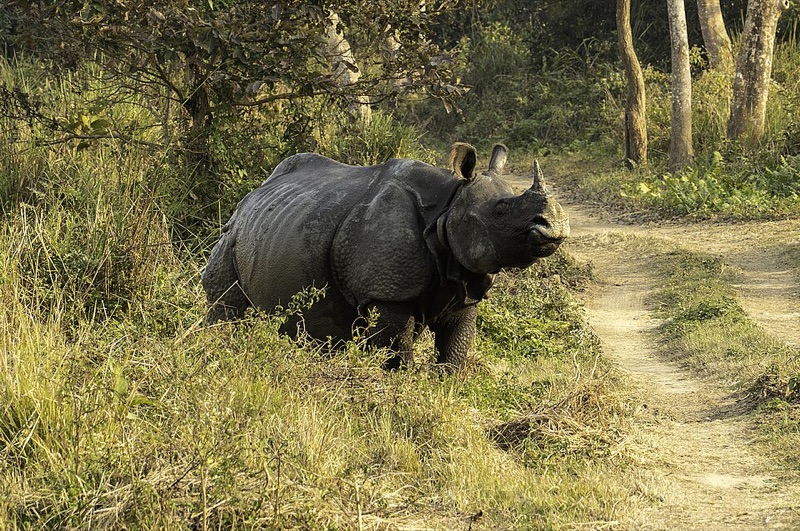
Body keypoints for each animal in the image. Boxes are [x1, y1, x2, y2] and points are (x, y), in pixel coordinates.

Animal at [202, 143, 569, 371]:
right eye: (500, 210)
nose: (555, 225)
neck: (449, 206)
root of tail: (253, 194)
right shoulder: (387, 289)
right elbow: (395, 347)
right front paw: (399, 386)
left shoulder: (463, 280)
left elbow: (455, 347)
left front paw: (445, 386)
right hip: (232, 233)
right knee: (225, 303)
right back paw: (217, 349)